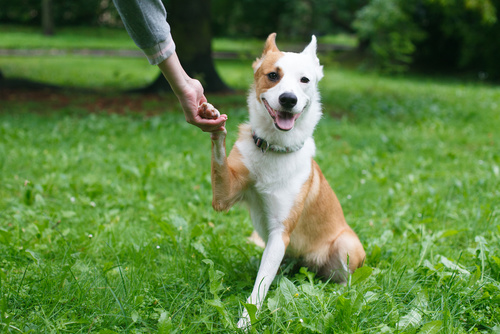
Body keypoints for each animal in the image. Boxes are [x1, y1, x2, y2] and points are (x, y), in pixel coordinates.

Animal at [201, 32, 366, 328]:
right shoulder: (224, 195)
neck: (274, 149)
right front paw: (213, 122)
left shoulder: (280, 232)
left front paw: (245, 323)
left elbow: (260, 287)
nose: (288, 99)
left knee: (345, 280)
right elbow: (219, 159)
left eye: (305, 80)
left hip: (346, 244)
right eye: (273, 75)